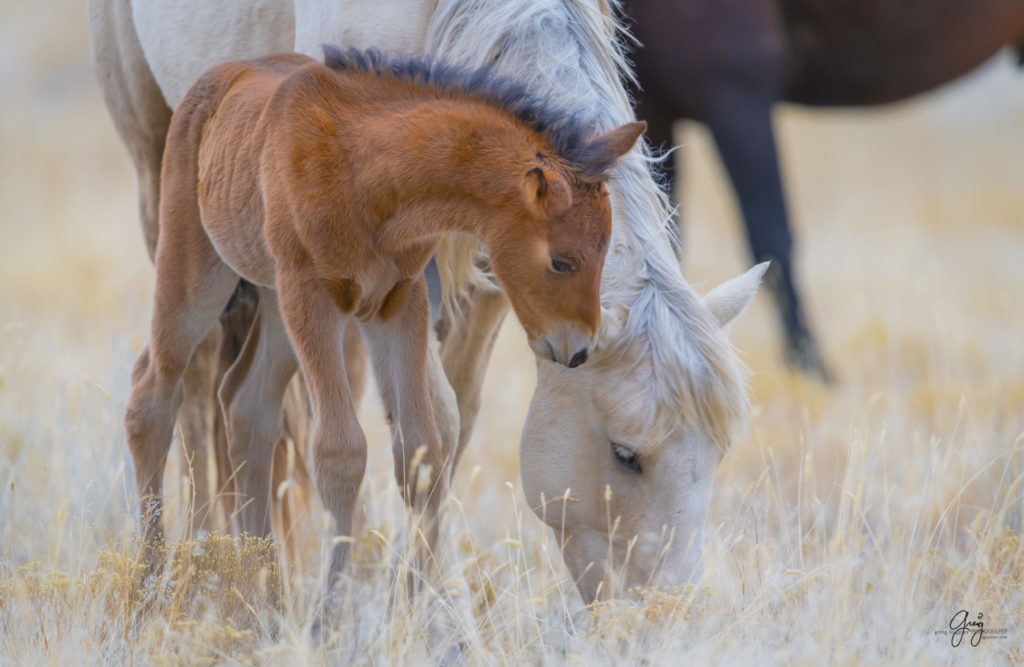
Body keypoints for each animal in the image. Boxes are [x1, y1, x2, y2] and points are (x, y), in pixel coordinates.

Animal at [90, 0, 770, 598]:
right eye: (626, 455)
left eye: (719, 455)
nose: (664, 610)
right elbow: (415, 429)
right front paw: (410, 608)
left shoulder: (486, 284)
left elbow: (446, 427)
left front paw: (414, 595)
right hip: (174, 206)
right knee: (185, 384)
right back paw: (196, 568)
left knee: (247, 405)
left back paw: (262, 582)